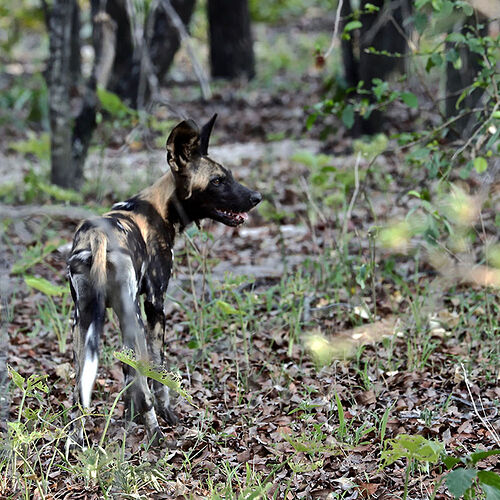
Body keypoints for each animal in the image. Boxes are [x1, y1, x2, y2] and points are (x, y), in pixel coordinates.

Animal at [66, 115, 262, 448]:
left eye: (230, 176)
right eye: (217, 181)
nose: (256, 198)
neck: (160, 207)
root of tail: (97, 236)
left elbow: (127, 373)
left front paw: (128, 419)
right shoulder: (155, 304)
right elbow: (156, 369)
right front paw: (164, 414)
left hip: (84, 321)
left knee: (80, 390)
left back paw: (76, 444)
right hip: (132, 314)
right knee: (143, 377)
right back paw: (158, 437)